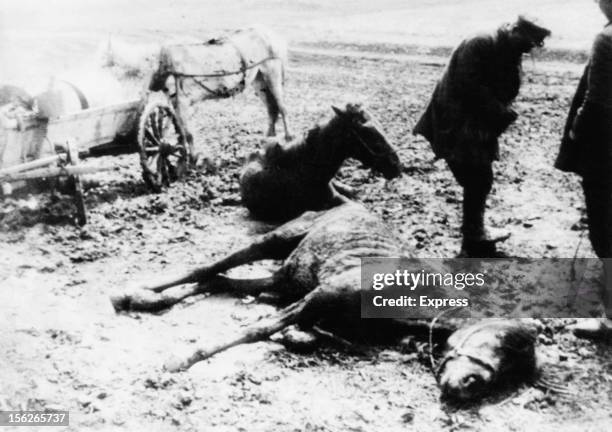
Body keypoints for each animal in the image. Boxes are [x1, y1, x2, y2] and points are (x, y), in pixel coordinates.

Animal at [111, 202, 536, 402]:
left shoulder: (312, 303)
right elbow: (258, 329)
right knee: (209, 267)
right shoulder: (319, 296)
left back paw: (148, 298)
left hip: (286, 275)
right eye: (500, 341)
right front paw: (183, 360)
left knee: (217, 280)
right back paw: (134, 292)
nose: (470, 385)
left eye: (512, 373)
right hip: (276, 240)